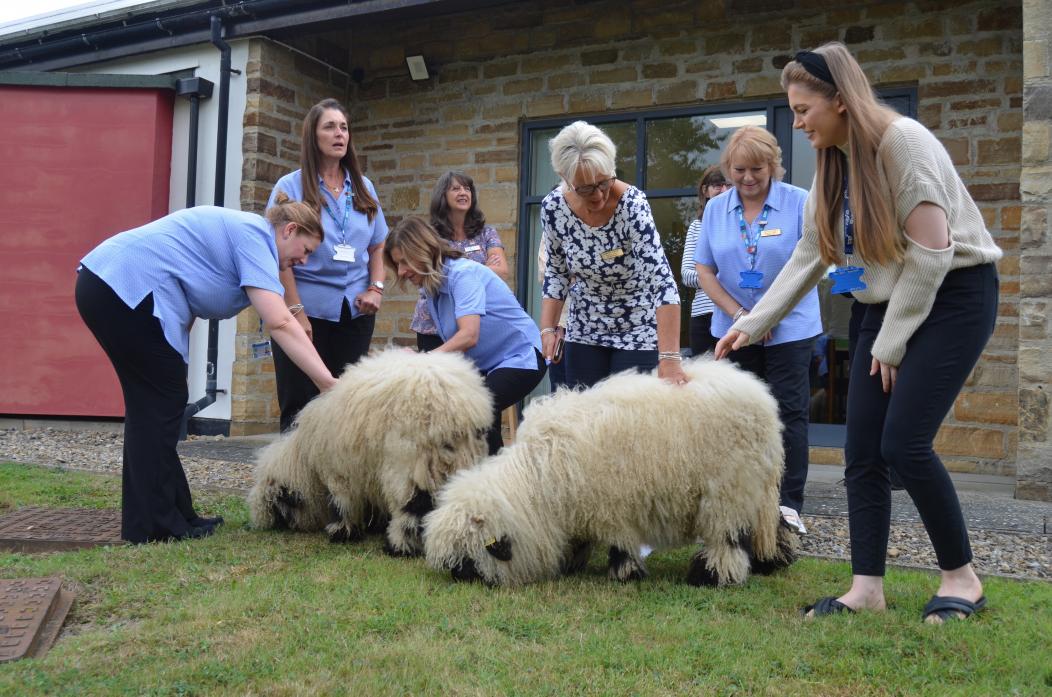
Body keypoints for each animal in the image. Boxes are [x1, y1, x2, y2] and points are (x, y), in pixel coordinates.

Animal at [246, 349, 492, 555]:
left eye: (278, 501)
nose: (279, 526)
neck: (306, 460)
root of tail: (452, 405)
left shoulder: (339, 474)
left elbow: (342, 505)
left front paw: (342, 532)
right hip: (457, 459)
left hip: (407, 464)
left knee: (410, 509)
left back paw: (399, 547)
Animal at [418, 359, 795, 588]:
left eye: (472, 551)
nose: (459, 575)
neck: (538, 481)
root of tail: (762, 400)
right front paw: (572, 560)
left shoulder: (612, 504)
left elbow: (620, 542)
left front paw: (623, 572)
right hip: (755, 487)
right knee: (769, 524)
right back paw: (773, 561)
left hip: (728, 488)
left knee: (728, 537)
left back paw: (712, 576)